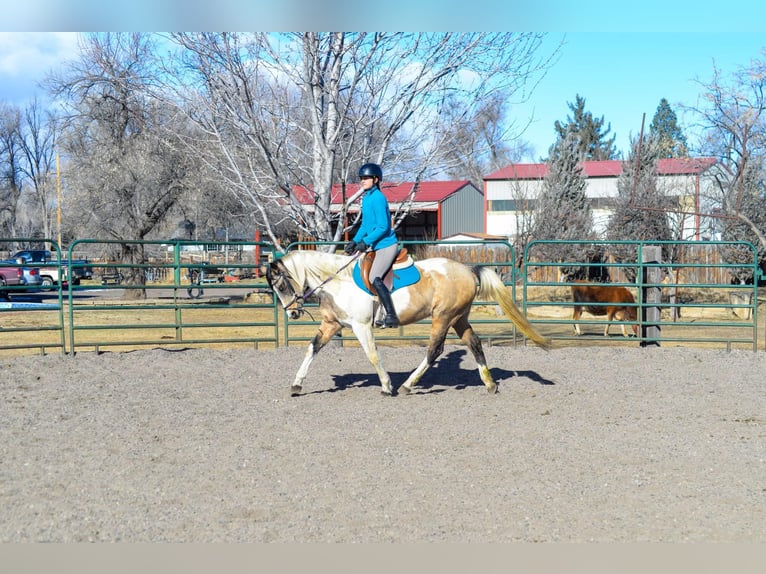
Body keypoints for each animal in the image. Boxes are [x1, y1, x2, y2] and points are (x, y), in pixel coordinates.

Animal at [265, 249, 550, 396]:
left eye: (281, 285)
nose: (292, 314)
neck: (337, 281)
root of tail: (467, 270)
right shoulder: (332, 325)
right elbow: (312, 348)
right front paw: (297, 384)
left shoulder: (361, 326)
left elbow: (372, 355)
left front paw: (386, 385)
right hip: (459, 318)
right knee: (475, 343)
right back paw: (490, 384)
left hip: (443, 317)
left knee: (434, 350)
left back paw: (407, 385)